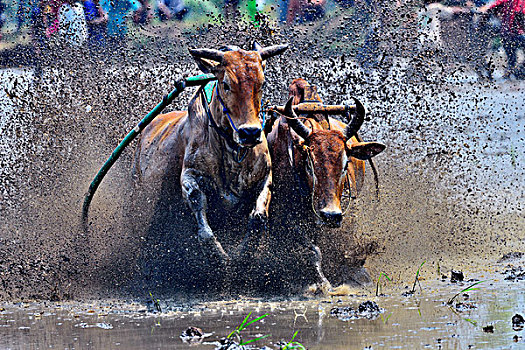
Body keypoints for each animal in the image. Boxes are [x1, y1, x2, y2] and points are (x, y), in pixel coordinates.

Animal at [131, 43, 286, 268]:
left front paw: (242, 254)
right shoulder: (190, 176)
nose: (250, 132)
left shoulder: (265, 175)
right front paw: (220, 256)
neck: (231, 151)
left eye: (262, 83)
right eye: (226, 84)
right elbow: (199, 210)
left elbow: (258, 218)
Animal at [266, 79, 384, 292]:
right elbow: (314, 250)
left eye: (346, 164)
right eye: (309, 163)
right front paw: (322, 284)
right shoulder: (286, 217)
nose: (330, 215)